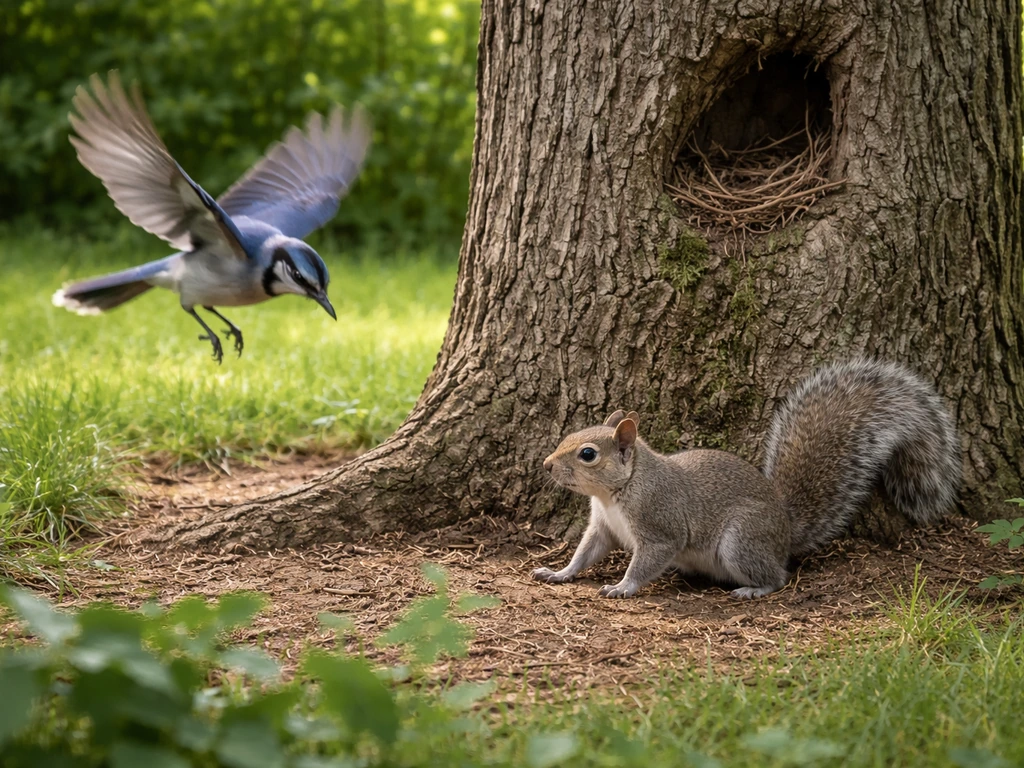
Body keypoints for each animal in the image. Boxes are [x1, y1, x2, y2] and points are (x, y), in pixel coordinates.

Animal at [532, 359, 962, 599]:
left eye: (588, 454)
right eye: (571, 434)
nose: (546, 465)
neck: (618, 490)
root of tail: (785, 530)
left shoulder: (660, 524)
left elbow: (647, 560)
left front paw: (623, 586)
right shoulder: (603, 526)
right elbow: (586, 551)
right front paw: (558, 572)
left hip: (742, 540)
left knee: (780, 577)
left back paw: (754, 588)